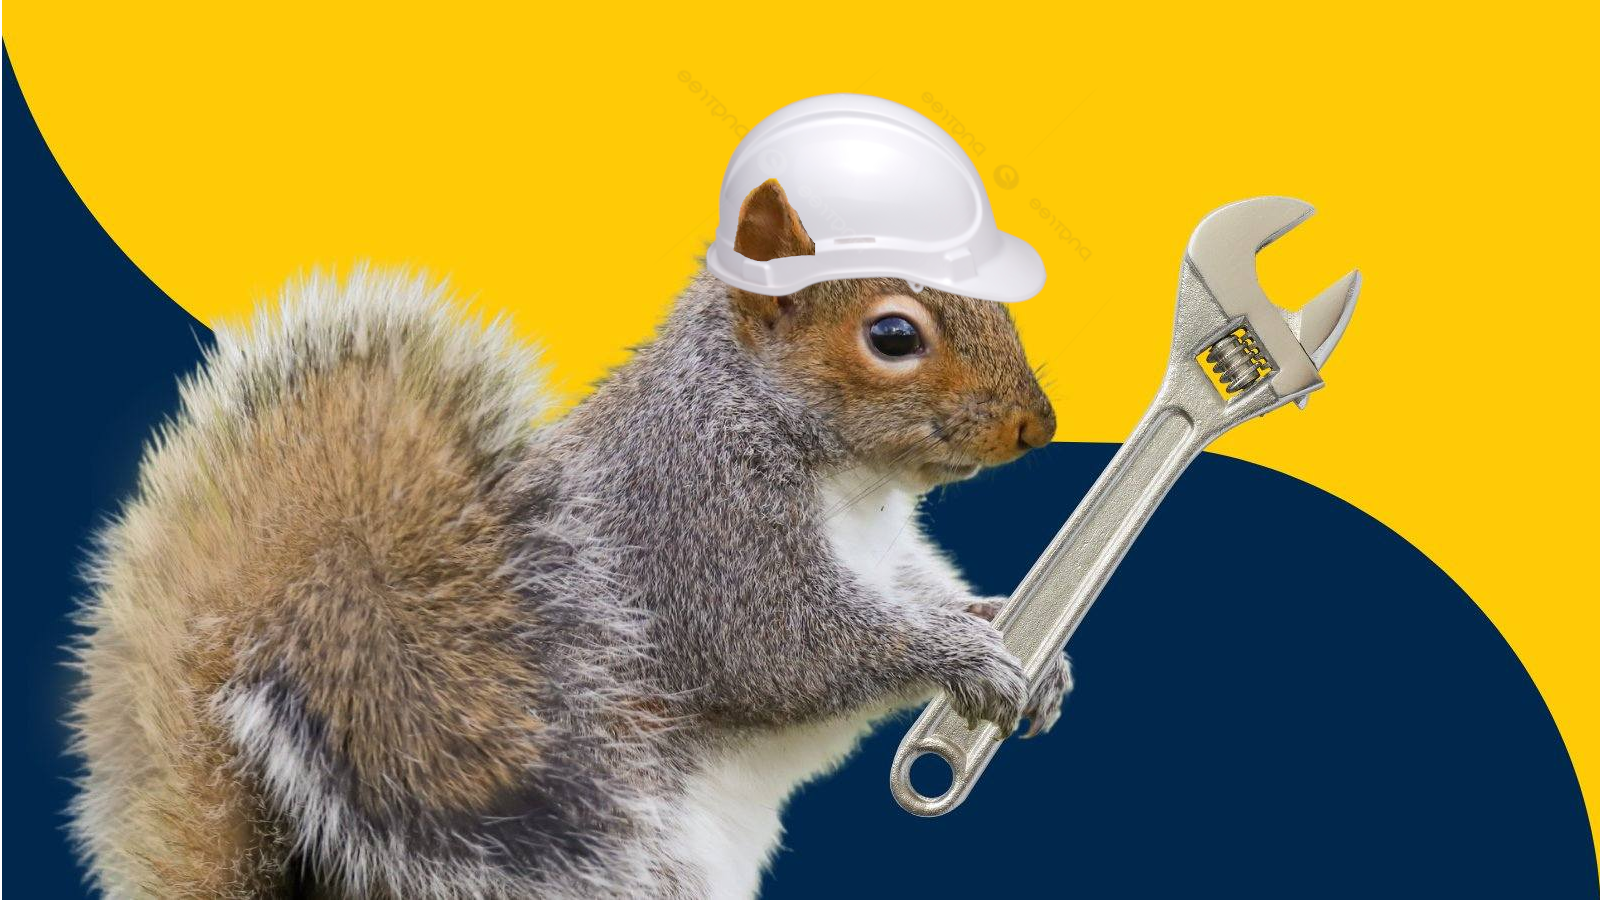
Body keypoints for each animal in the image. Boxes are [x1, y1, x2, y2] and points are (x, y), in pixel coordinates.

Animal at [68, 178, 1071, 900]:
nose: (1039, 426)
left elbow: (920, 589)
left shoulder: (886, 553)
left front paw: (1012, 636)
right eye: (893, 334)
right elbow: (787, 648)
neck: (850, 484)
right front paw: (961, 659)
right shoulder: (696, 525)